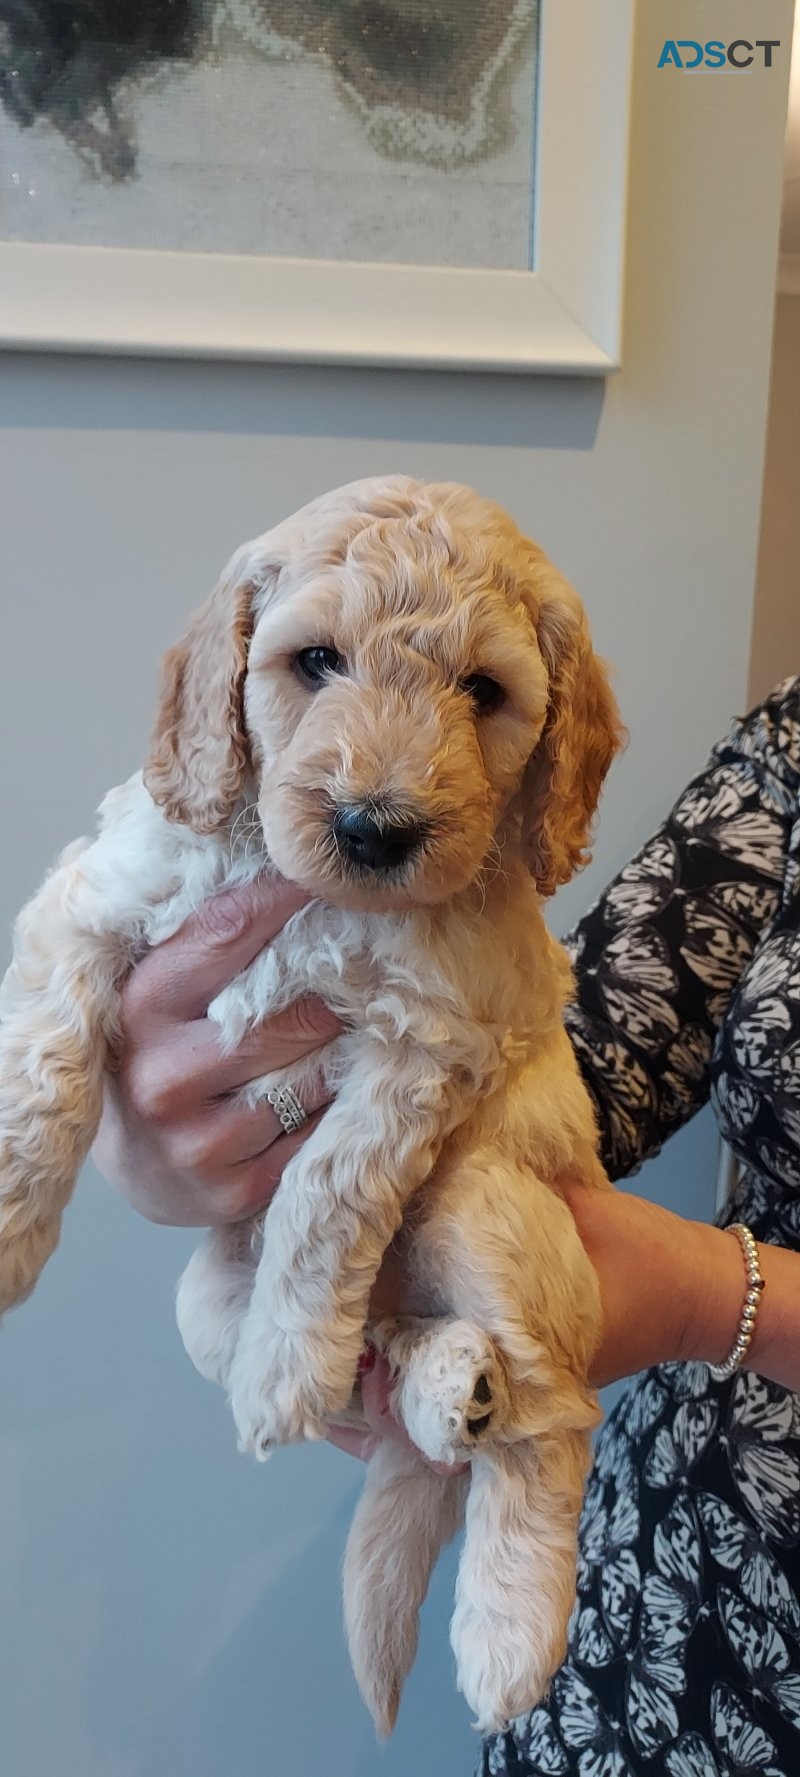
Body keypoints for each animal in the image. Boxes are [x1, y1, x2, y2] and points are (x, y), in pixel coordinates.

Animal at [0, 476, 625, 1734]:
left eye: (483, 691)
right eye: (314, 661)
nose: (374, 828)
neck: (310, 894)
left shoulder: (427, 1046)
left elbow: (326, 1194)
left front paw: (287, 1365)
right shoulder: (94, 896)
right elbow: (44, 1063)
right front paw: (4, 1228)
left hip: (481, 1196)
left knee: (554, 1420)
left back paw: (507, 1625)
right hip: (202, 1301)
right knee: (396, 1372)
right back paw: (437, 1386)